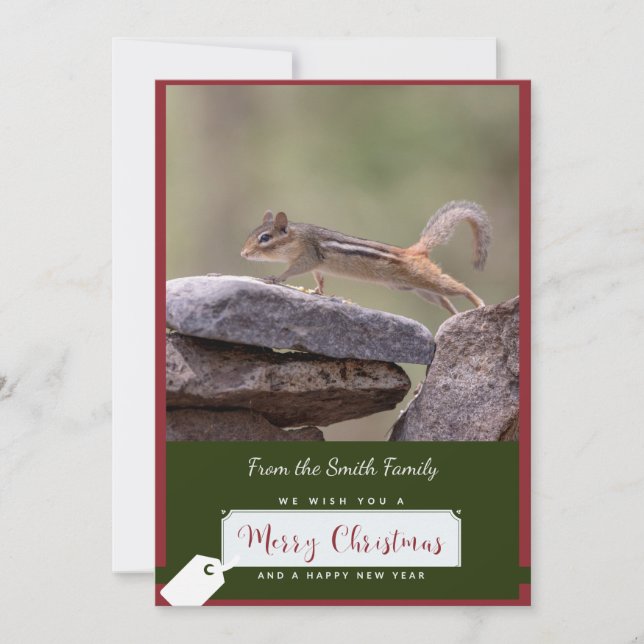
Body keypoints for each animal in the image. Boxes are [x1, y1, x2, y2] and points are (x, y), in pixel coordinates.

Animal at [240, 201, 491, 315]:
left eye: (264, 238)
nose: (243, 253)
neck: (296, 237)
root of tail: (415, 250)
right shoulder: (317, 265)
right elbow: (319, 277)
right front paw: (319, 290)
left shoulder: (309, 256)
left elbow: (293, 270)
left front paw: (275, 278)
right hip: (417, 288)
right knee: (444, 300)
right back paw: (454, 315)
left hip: (426, 278)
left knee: (458, 288)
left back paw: (478, 303)